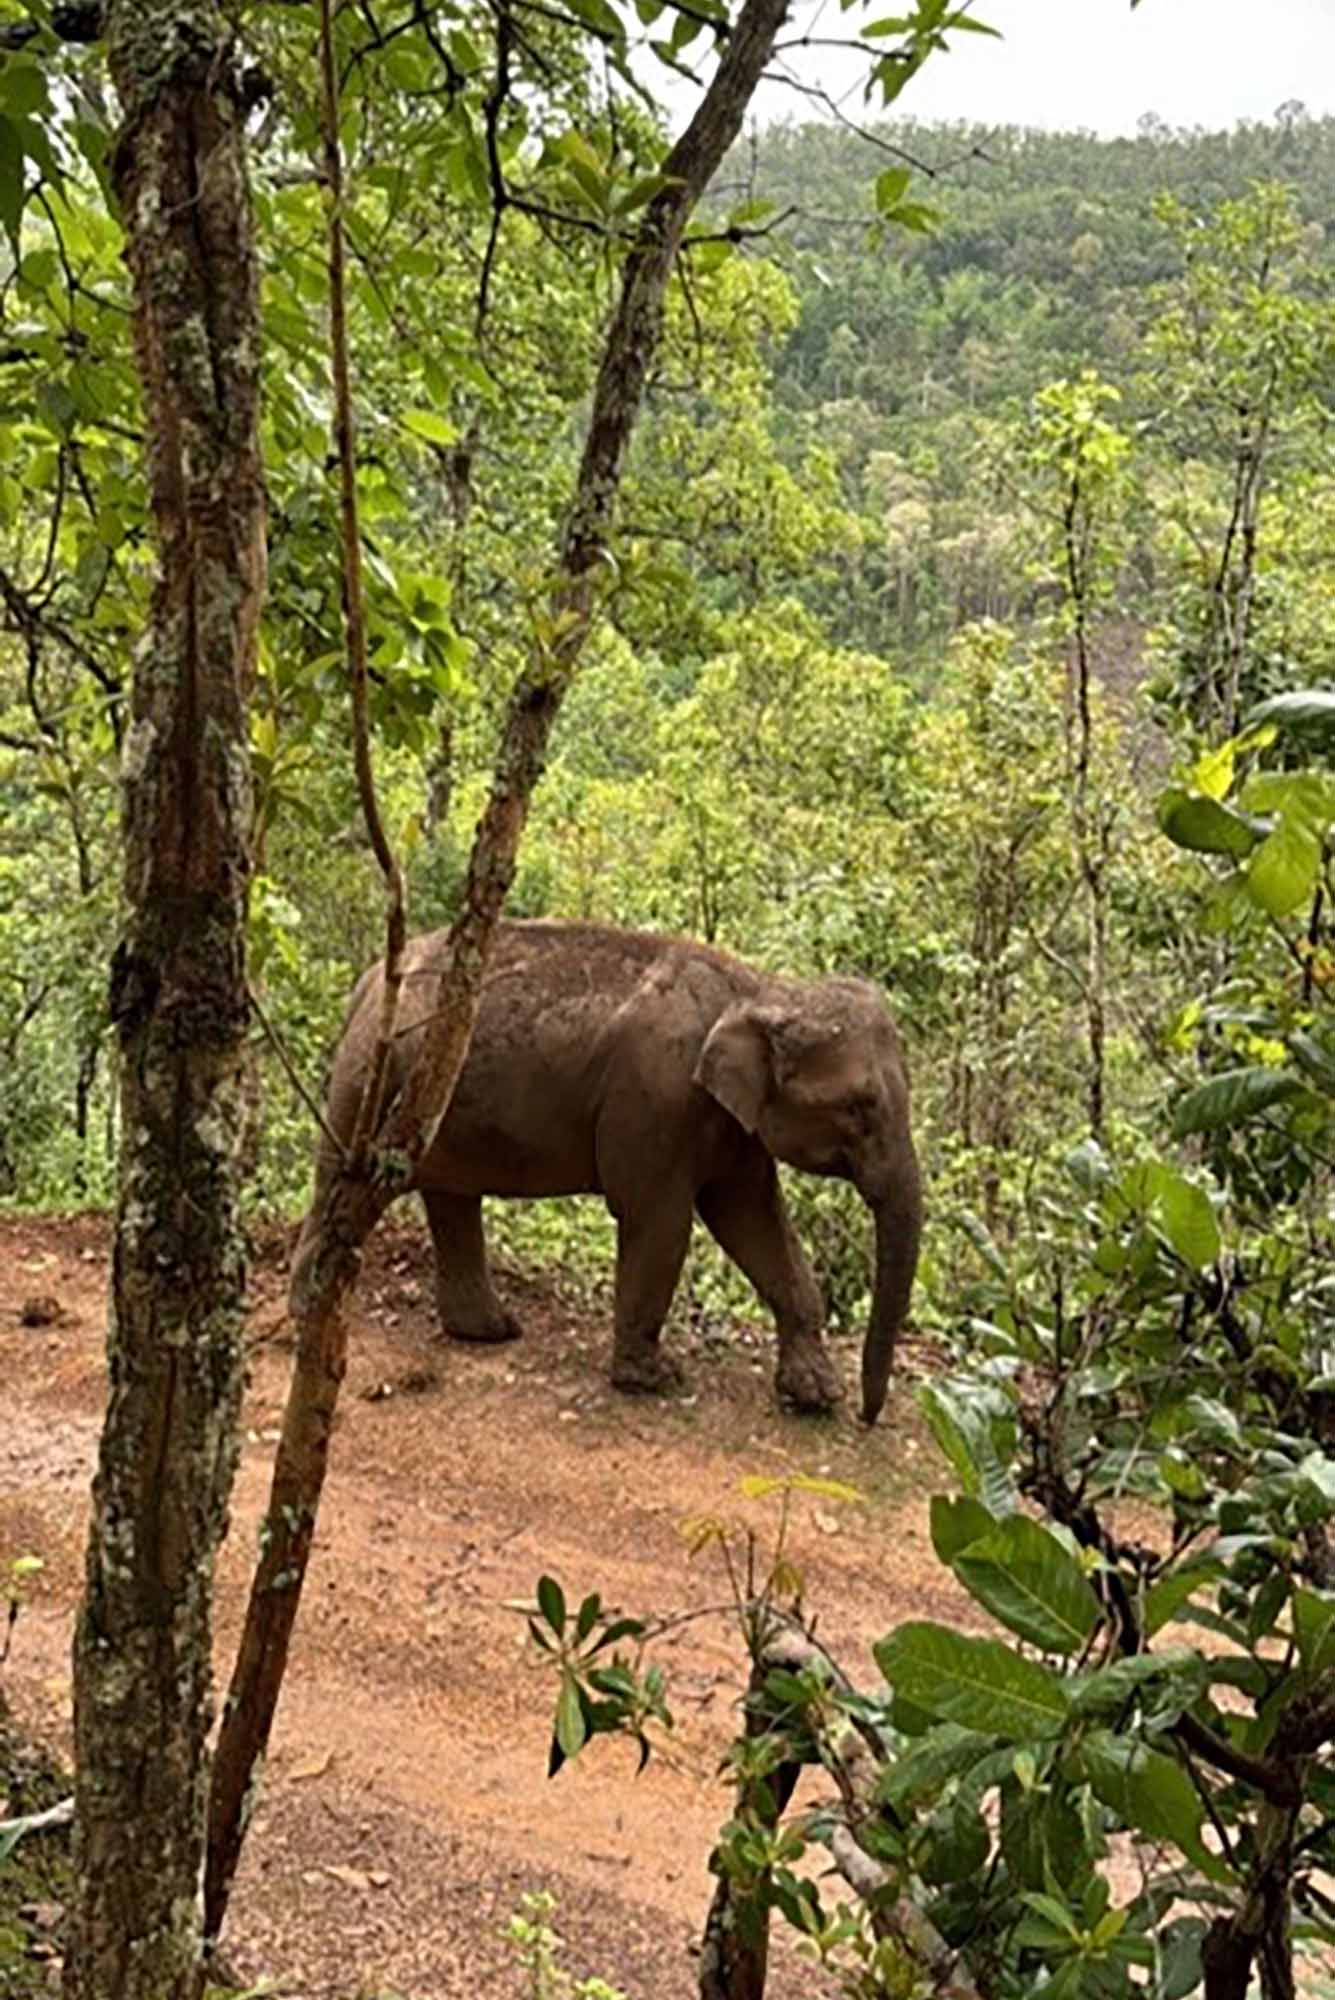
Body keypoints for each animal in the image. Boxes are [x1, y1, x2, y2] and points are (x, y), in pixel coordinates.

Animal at [297, 920, 922, 1423]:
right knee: (341, 1181)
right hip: (367, 1080)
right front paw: (655, 1379)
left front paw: (815, 1396)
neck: (761, 988)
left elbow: (754, 1220)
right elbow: (661, 1221)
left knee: (451, 1197)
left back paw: (492, 1331)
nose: (869, 1417)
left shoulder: (732, 1123)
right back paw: (309, 1308)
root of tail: (368, 982)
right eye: (861, 1107)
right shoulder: (657, 1098)